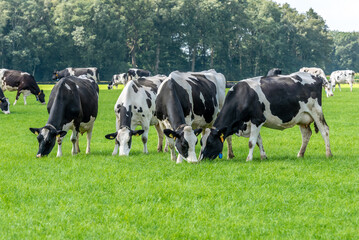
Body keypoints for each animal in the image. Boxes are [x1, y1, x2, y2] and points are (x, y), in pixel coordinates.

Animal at [198, 71, 334, 161]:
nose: (201, 160)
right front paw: (263, 156)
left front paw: (249, 159)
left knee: (325, 130)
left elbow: (251, 142)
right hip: (302, 117)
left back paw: (328, 154)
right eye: (200, 142)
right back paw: (300, 154)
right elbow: (259, 141)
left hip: (316, 111)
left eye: (209, 142)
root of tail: (315, 76)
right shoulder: (251, 123)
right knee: (306, 134)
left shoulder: (257, 119)